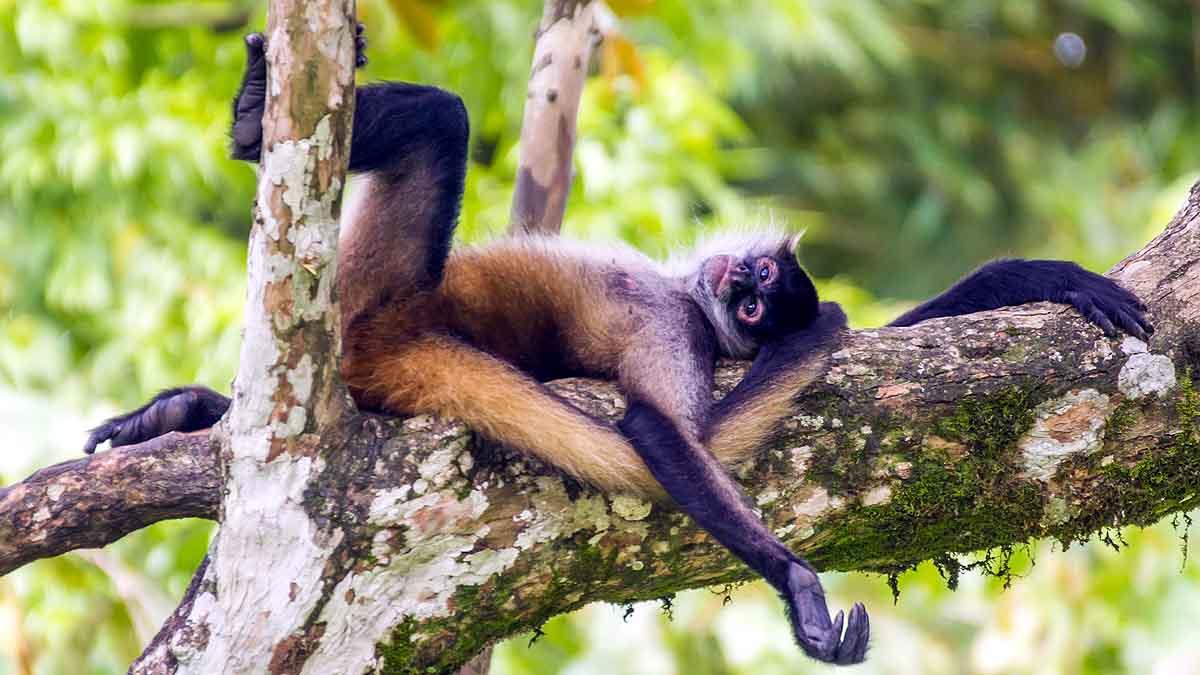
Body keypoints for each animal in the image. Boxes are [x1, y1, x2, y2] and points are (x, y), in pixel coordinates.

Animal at [83, 27, 1154, 666]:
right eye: (753, 282)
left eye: (759, 309)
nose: (740, 284)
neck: (686, 297)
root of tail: (390, 341)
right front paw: (1060, 278)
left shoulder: (675, 339)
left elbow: (660, 427)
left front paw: (797, 584)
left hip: (377, 287)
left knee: (442, 125)